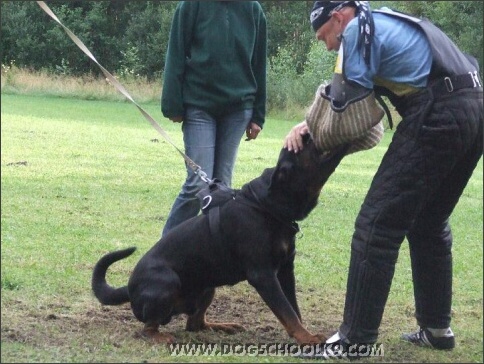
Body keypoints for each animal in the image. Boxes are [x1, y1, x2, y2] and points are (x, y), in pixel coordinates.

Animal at [91, 136, 348, 344]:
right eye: (304, 144)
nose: (305, 132)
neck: (265, 206)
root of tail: (129, 289)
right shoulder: (263, 274)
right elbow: (286, 310)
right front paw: (307, 338)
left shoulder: (285, 270)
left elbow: (293, 308)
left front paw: (302, 335)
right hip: (167, 282)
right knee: (147, 328)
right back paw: (161, 337)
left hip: (207, 287)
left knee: (194, 324)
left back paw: (223, 326)